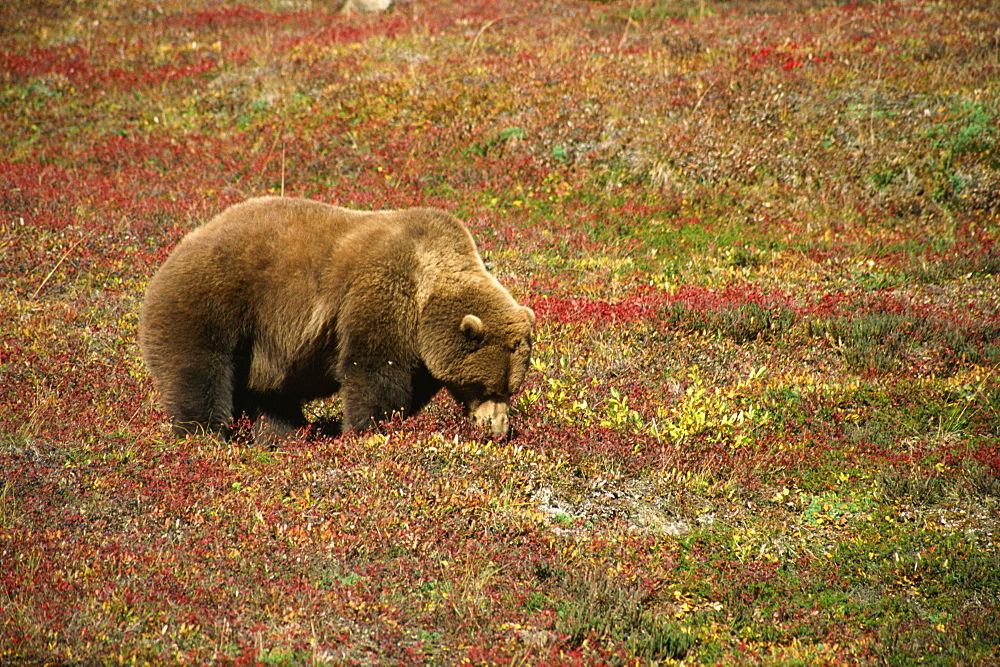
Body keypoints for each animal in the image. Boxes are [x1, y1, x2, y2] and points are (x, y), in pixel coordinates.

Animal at [139, 196, 540, 440]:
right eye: (486, 386)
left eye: (511, 388)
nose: (499, 428)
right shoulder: (380, 293)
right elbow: (374, 371)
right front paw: (369, 429)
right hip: (213, 303)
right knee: (199, 372)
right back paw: (205, 433)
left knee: (272, 397)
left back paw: (283, 436)